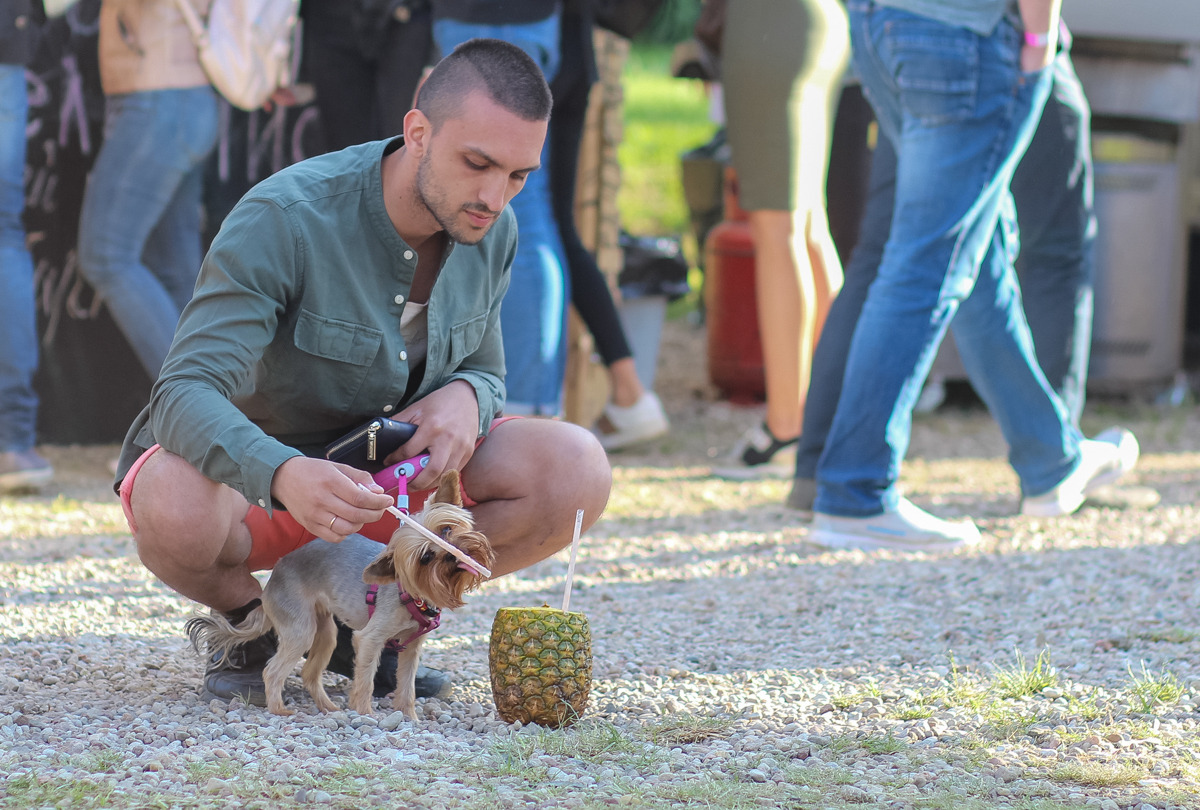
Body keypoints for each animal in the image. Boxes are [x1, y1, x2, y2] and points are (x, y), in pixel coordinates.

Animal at [184, 472, 494, 720]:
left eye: (446, 529)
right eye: (426, 558)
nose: (452, 556)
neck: (411, 594)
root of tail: (269, 584)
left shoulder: (412, 649)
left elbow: (406, 687)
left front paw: (410, 719)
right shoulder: (369, 639)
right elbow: (365, 680)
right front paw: (366, 714)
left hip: (325, 633)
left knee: (310, 673)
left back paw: (328, 708)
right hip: (301, 630)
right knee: (272, 671)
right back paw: (279, 710)